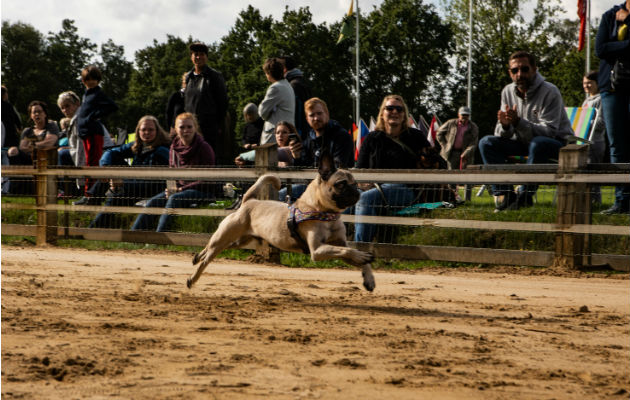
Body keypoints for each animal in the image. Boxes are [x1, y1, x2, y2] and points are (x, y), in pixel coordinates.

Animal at [188, 152, 376, 290]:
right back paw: (192, 277)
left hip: (239, 241)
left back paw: (196, 257)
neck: (326, 213)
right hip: (224, 237)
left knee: (210, 249)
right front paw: (362, 255)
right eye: (341, 184)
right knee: (207, 259)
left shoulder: (338, 244)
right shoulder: (318, 250)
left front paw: (369, 278)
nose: (356, 191)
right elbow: (348, 251)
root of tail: (249, 201)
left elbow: (354, 256)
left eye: (355, 183)